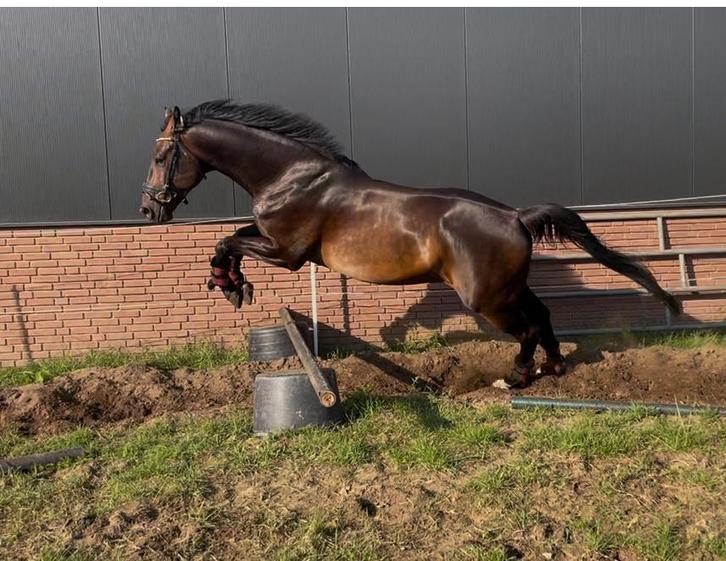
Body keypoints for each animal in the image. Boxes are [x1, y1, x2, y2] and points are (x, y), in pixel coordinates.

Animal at [140, 101, 681, 386]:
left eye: (161, 155)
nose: (149, 209)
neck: (291, 176)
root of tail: (514, 216)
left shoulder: (286, 253)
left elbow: (227, 240)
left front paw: (232, 286)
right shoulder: (277, 243)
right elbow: (227, 239)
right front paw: (232, 285)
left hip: (487, 298)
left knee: (528, 327)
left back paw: (516, 376)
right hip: (508, 288)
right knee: (544, 316)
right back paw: (555, 365)